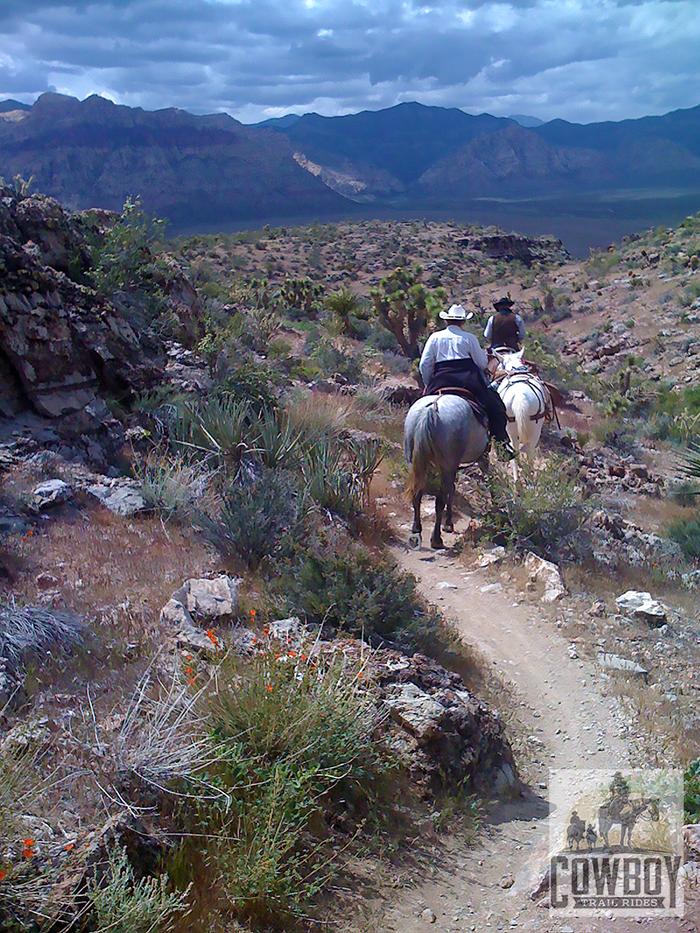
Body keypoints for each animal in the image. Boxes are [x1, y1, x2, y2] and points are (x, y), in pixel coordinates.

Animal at [404, 396, 486, 552]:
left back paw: (416, 530)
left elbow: (452, 488)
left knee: (417, 494)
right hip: (448, 465)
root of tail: (432, 408)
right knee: (439, 500)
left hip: (414, 461)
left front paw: (448, 522)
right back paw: (436, 539)